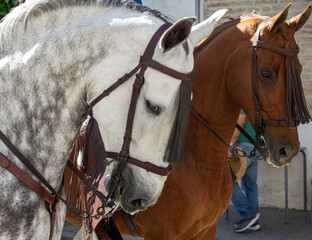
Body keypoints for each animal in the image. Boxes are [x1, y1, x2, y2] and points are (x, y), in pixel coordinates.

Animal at [112, 4, 312, 240]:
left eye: (299, 69)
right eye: (266, 73)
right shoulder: (162, 233)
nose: (287, 150)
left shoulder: (206, 229)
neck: (196, 156)